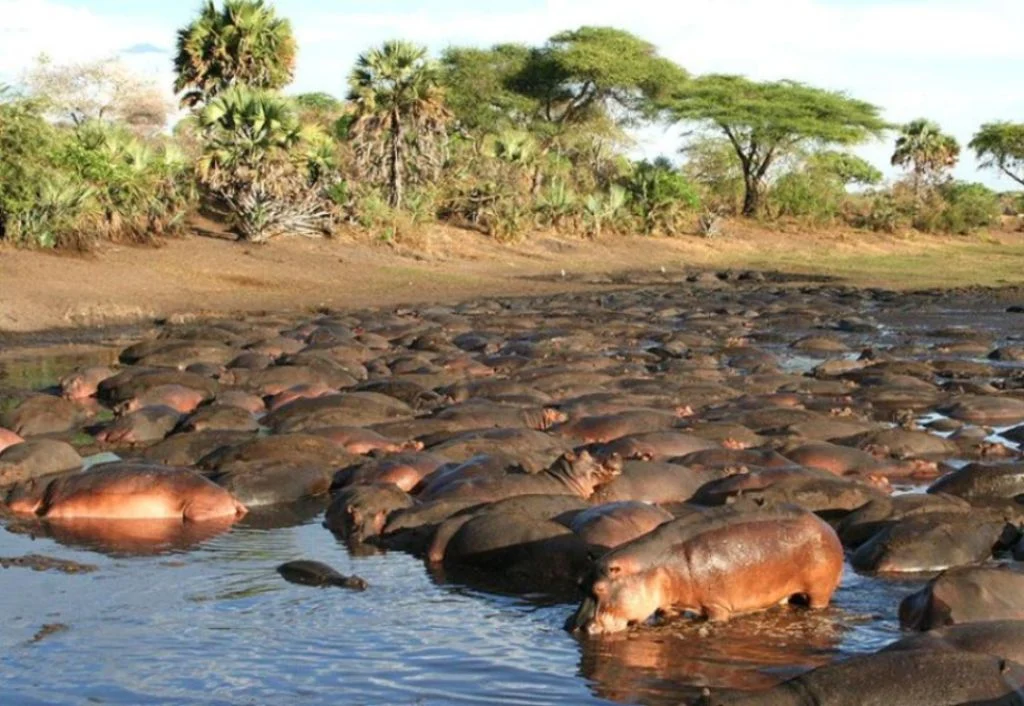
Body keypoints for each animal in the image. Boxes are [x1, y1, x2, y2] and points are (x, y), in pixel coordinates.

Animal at [567, 505, 843, 634]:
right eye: (579, 582)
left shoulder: (717, 606)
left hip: (819, 590)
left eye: (599, 588)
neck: (655, 563)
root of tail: (825, 524)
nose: (573, 627)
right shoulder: (669, 606)